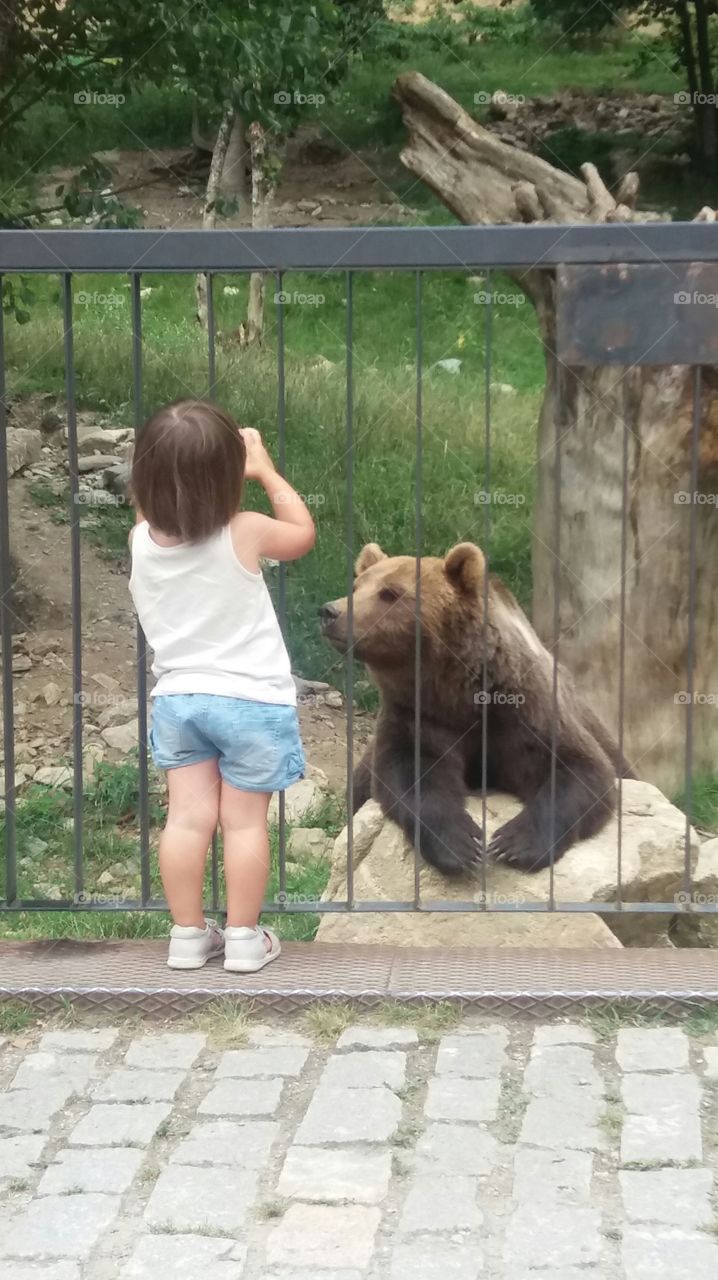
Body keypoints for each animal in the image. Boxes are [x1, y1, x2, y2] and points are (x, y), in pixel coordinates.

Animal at [319, 541, 635, 875]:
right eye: (356, 587)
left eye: (390, 592)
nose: (331, 611)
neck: (457, 691)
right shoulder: (417, 714)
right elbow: (412, 773)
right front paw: (459, 845)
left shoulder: (525, 711)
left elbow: (579, 768)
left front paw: (514, 844)